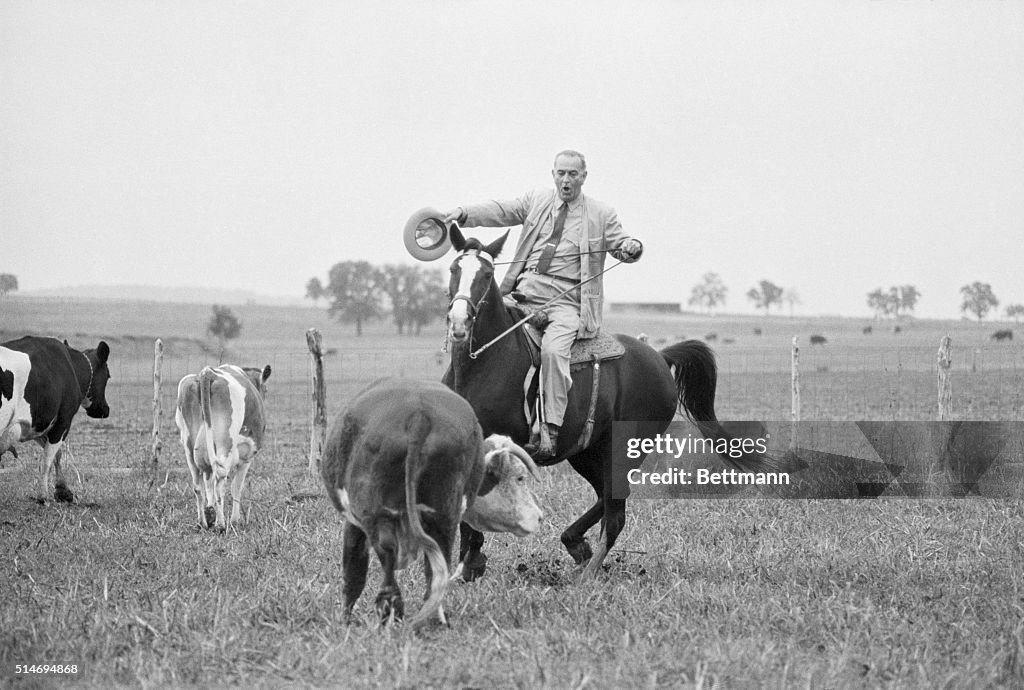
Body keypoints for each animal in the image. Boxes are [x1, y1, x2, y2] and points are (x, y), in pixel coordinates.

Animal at [0, 333, 111, 499]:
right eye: (108, 375)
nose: (105, 409)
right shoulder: (63, 420)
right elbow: (47, 459)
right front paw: (45, 495)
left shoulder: (39, 423)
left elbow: (55, 455)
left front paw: (63, 490)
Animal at [176, 362, 272, 528]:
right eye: (265, 389)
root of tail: (208, 373)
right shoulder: (247, 455)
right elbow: (236, 487)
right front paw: (235, 520)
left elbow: (208, 483)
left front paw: (210, 511)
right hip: (225, 443)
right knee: (220, 480)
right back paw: (221, 524)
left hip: (189, 445)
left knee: (198, 484)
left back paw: (203, 522)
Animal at [321, 372, 544, 626]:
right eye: (520, 477)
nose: (539, 516)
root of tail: (419, 416)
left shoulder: (355, 521)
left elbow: (353, 573)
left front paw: (345, 621)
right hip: (444, 515)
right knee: (436, 573)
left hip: (378, 514)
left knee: (388, 559)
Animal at [442, 228, 782, 577]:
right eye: (454, 269)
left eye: (486, 274)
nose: (459, 321)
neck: (485, 362)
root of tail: (659, 357)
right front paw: (467, 564)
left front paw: (471, 562)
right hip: (587, 452)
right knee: (606, 497)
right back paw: (576, 543)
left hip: (623, 449)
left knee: (615, 511)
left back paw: (588, 574)